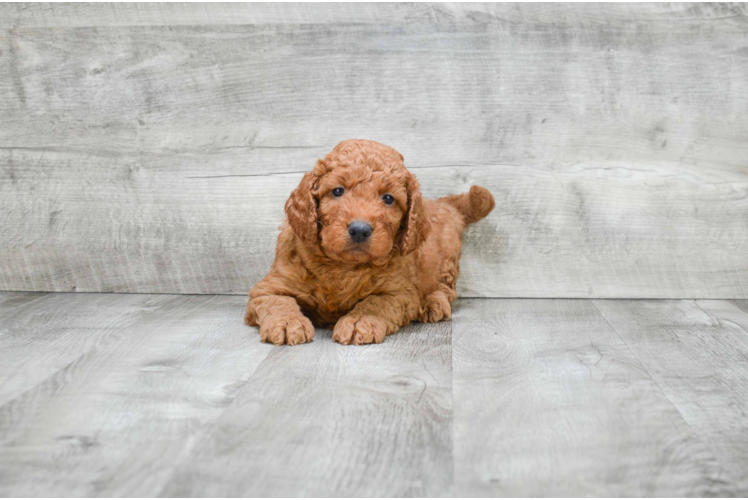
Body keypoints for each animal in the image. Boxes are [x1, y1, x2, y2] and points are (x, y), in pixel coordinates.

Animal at [244, 139, 496, 346]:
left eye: (388, 198)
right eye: (337, 191)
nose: (359, 230)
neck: (342, 267)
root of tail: (443, 203)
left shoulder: (400, 292)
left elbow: (376, 303)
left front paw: (358, 321)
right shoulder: (268, 287)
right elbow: (278, 301)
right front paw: (287, 323)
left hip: (447, 260)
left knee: (446, 288)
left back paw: (433, 303)